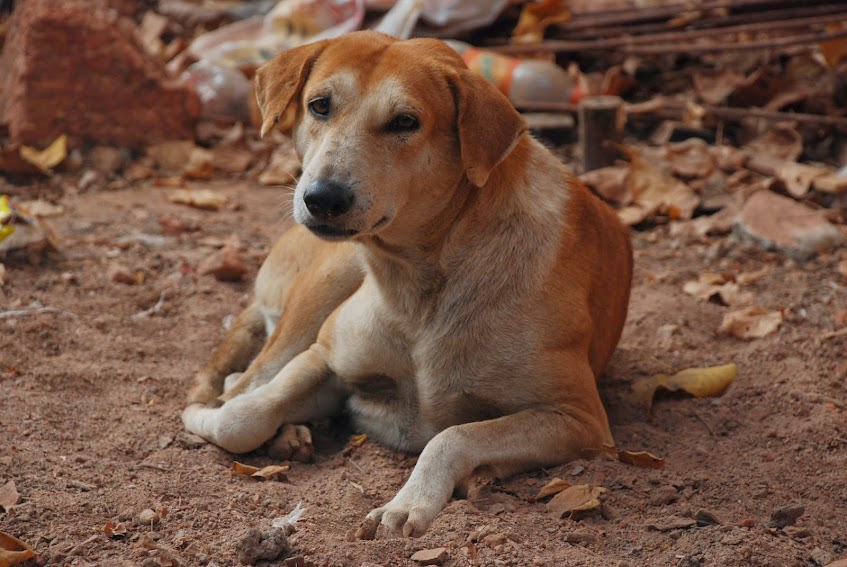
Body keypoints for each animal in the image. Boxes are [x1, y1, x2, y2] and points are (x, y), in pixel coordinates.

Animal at [182, 30, 628, 536]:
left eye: (405, 122)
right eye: (319, 106)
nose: (322, 198)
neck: (419, 281)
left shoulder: (578, 419)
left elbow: (452, 436)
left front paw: (408, 503)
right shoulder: (326, 355)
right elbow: (241, 417)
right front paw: (205, 416)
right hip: (322, 289)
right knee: (246, 378)